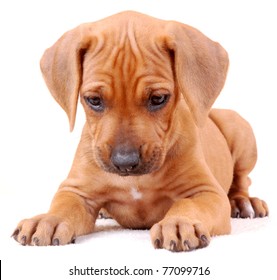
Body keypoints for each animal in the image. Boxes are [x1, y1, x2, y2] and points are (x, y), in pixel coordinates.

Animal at [12, 11, 268, 252]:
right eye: (93, 100)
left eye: (158, 99)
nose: (125, 163)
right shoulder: (76, 191)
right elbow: (64, 205)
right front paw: (49, 219)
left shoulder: (206, 192)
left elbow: (188, 204)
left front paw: (178, 222)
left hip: (238, 127)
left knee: (241, 180)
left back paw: (244, 202)